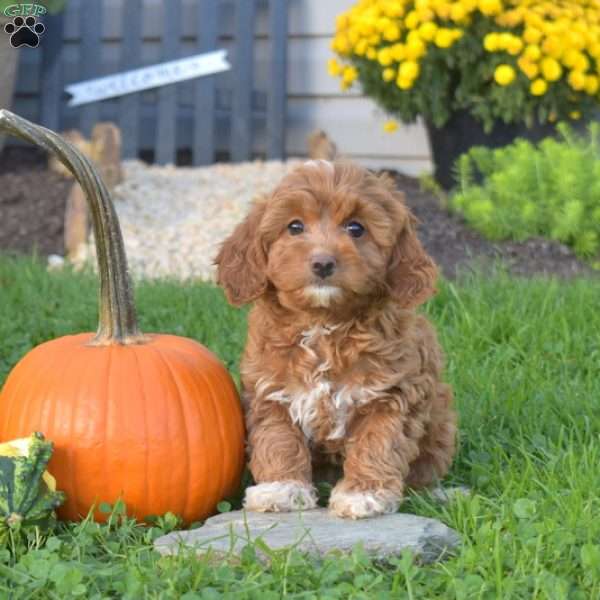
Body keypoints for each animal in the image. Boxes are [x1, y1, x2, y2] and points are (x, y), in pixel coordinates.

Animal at [216, 162, 454, 516]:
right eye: (295, 226)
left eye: (356, 228)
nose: (323, 262)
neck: (324, 323)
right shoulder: (271, 392)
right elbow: (278, 441)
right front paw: (281, 489)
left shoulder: (390, 395)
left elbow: (377, 444)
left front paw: (363, 494)